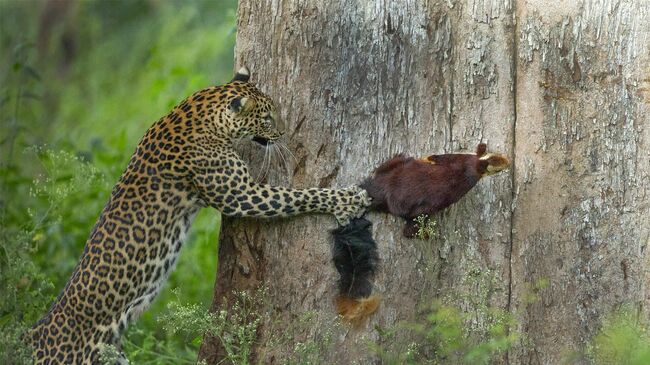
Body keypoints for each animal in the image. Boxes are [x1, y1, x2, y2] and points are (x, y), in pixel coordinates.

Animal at [27, 67, 370, 362]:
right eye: (267, 118)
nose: (284, 132)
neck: (204, 111)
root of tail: (35, 334)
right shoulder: (242, 195)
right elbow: (299, 196)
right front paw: (348, 199)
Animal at [332, 144, 508, 322]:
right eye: (497, 167)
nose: (507, 162)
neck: (475, 166)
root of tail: (375, 195)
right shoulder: (461, 160)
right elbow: (438, 157)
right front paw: (428, 158)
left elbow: (437, 158)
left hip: (402, 186)